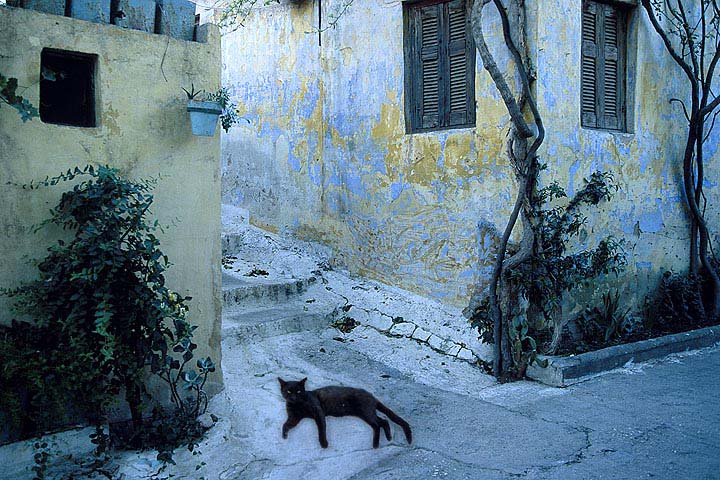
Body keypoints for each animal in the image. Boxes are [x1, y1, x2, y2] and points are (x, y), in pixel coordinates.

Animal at [278, 376, 410, 448]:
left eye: (298, 391)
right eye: (288, 391)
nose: (293, 397)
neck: (297, 405)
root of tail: (372, 396)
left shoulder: (318, 413)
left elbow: (321, 428)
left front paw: (324, 444)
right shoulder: (294, 417)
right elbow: (286, 424)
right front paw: (284, 435)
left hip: (366, 412)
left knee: (379, 423)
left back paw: (377, 443)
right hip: (365, 413)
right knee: (382, 422)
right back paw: (385, 438)